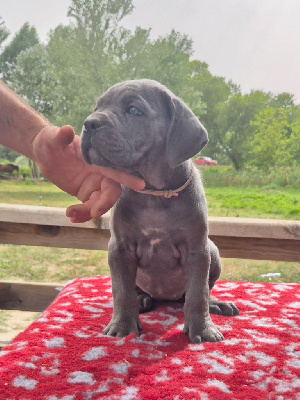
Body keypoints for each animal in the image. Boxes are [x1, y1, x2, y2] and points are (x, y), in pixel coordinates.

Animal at [80, 79, 239, 344]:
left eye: (134, 110)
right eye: (97, 107)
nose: (89, 123)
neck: (154, 194)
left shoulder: (197, 249)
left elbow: (198, 293)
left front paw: (203, 329)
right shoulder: (119, 248)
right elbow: (121, 290)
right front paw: (122, 326)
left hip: (212, 251)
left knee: (198, 292)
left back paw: (217, 304)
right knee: (137, 291)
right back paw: (143, 300)